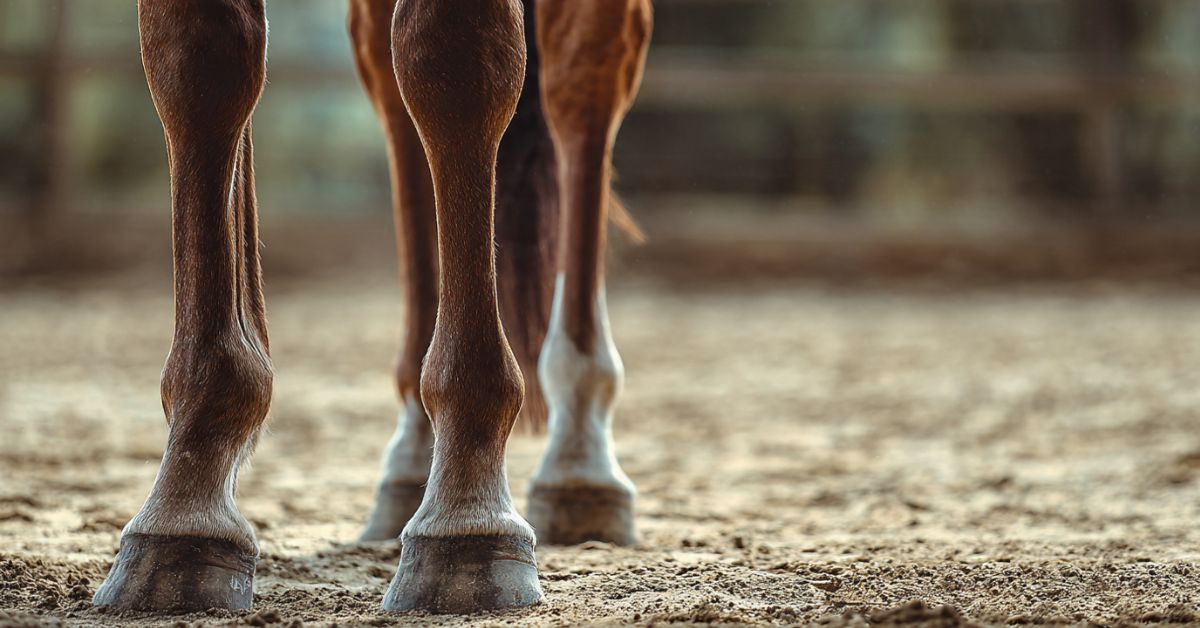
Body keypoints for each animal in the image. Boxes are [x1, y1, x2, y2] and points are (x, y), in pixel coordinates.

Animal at [90, 0, 652, 615]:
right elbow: (198, 65)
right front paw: (182, 511)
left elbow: (457, 59)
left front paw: (467, 519)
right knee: (393, 93)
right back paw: (415, 460)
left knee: (583, 83)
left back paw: (580, 453)